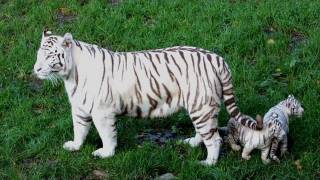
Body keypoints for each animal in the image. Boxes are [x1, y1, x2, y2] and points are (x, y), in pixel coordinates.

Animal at [33, 29, 262, 166]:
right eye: (38, 54)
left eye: (50, 55)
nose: (36, 69)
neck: (71, 76)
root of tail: (217, 59)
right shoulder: (80, 109)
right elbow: (79, 129)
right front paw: (74, 146)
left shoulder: (102, 112)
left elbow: (107, 135)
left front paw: (106, 153)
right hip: (199, 107)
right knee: (205, 132)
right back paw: (192, 143)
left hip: (201, 107)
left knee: (214, 139)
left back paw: (207, 164)